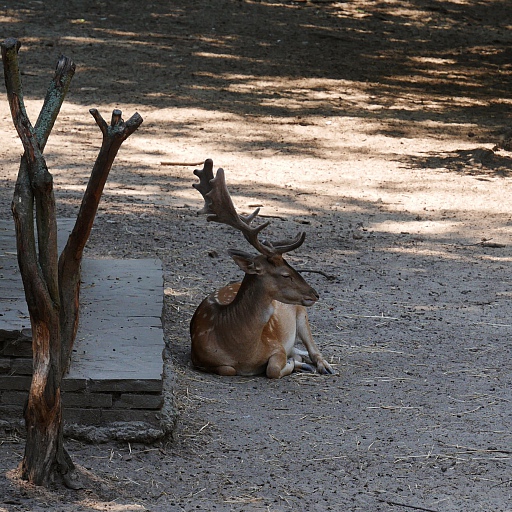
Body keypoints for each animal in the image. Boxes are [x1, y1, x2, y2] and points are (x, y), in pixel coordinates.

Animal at [190, 160, 334, 380]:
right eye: (285, 274)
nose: (315, 294)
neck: (242, 352)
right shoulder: (198, 357)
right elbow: (228, 369)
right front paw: (294, 364)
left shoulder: (277, 346)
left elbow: (272, 369)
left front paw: (291, 364)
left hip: (301, 313)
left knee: (313, 349)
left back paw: (324, 366)